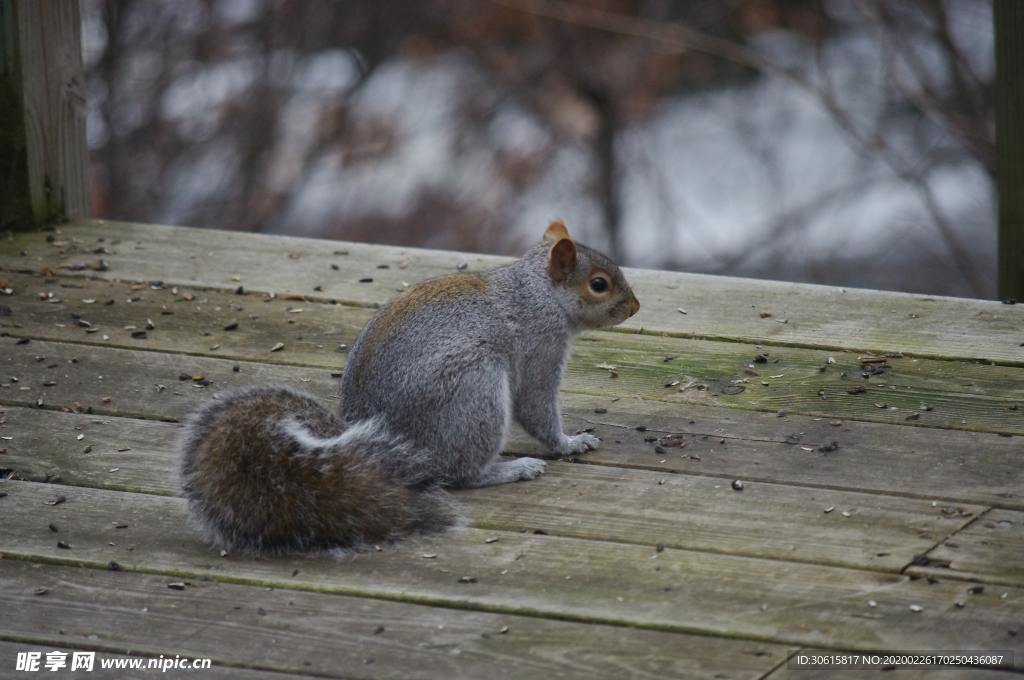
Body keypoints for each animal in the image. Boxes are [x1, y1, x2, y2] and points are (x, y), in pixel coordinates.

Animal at [180, 220, 634, 557]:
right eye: (598, 284)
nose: (635, 307)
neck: (539, 292)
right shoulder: (542, 343)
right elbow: (536, 406)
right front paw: (571, 442)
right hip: (473, 390)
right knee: (459, 473)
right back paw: (511, 469)